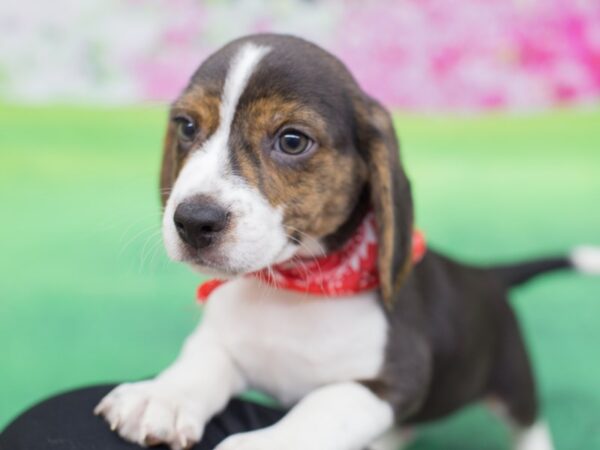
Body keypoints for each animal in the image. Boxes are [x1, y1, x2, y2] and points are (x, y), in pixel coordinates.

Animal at [95, 35, 600, 450]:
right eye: (186, 127)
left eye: (292, 140)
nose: (194, 221)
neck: (293, 288)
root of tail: (484, 274)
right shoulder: (226, 342)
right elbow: (202, 359)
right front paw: (161, 395)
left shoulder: (394, 380)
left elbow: (322, 408)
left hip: (513, 380)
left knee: (529, 423)